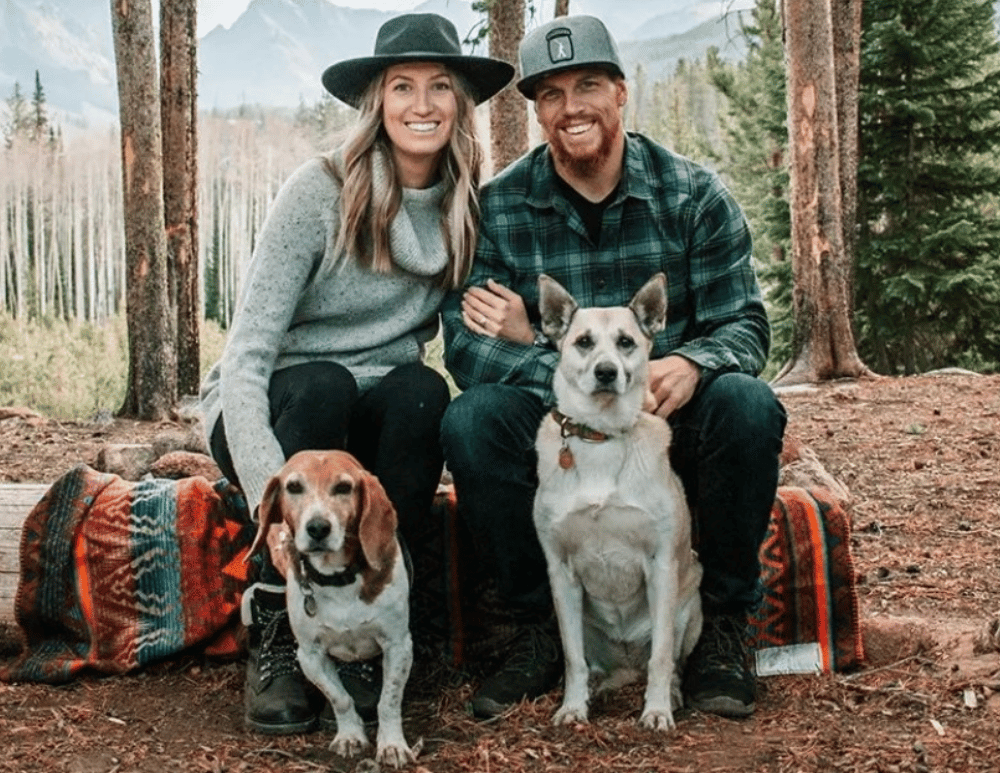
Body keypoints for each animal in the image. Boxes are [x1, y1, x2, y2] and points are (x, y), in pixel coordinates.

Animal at [248, 450, 416, 768]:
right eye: (294, 487)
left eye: (343, 487)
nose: (317, 528)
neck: (337, 578)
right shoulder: (310, 655)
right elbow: (340, 698)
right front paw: (350, 736)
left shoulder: (398, 645)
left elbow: (388, 701)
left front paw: (392, 745)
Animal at [532, 272, 704, 728]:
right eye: (583, 342)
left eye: (626, 342)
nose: (607, 372)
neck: (601, 436)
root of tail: (625, 664)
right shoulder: (560, 573)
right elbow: (572, 658)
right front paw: (572, 708)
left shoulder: (661, 566)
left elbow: (661, 657)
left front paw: (657, 710)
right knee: (593, 664)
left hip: (688, 605)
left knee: (669, 661)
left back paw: (671, 694)